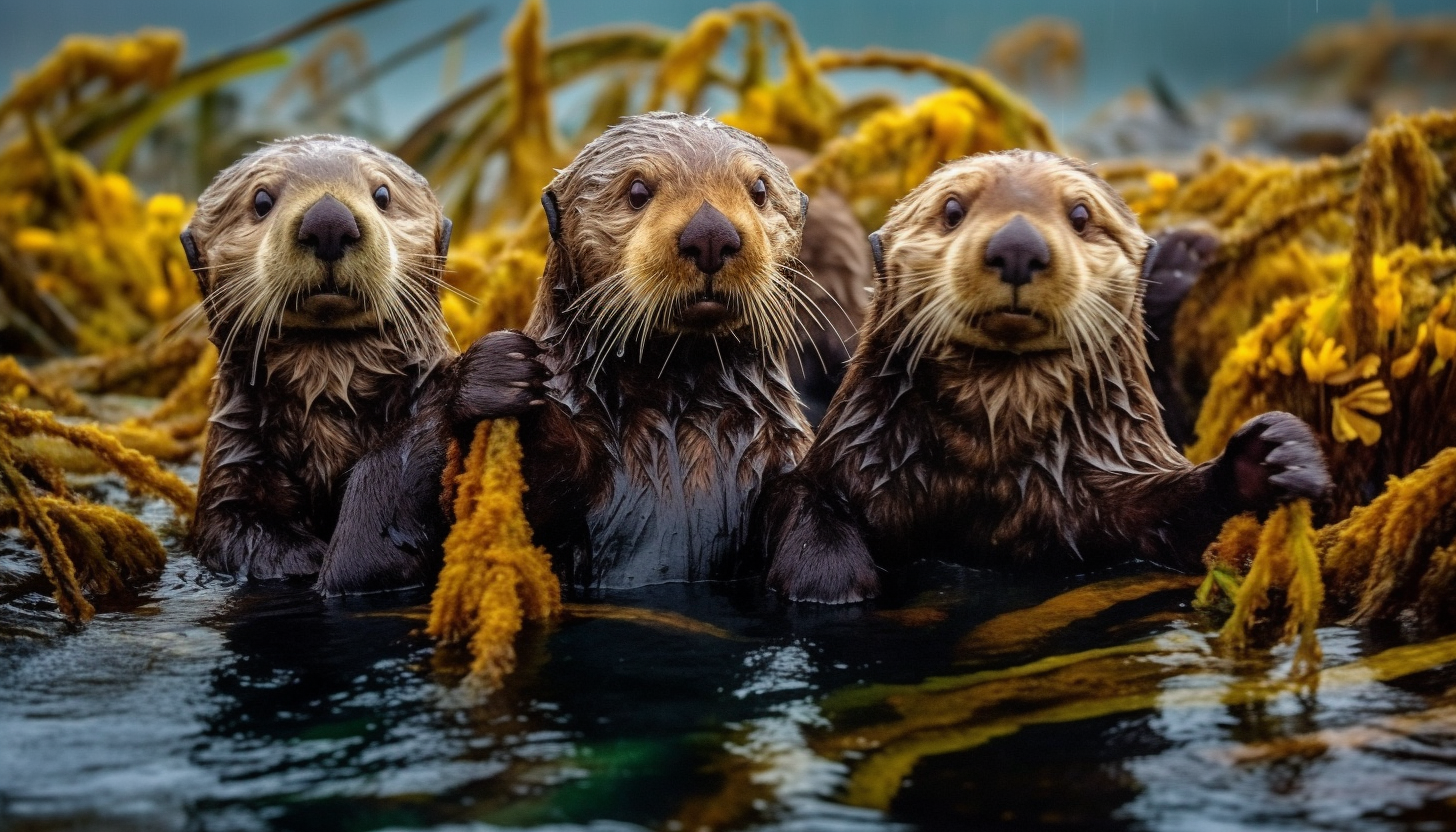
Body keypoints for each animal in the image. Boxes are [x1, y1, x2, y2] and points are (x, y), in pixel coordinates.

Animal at [181, 136, 544, 588]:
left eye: (382, 194)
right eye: (261, 200)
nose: (328, 220)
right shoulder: (232, 509)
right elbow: (360, 558)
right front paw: (490, 372)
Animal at [762, 151, 1333, 606]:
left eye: (1080, 214)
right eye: (952, 210)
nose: (1017, 244)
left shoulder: (1106, 498)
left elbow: (1179, 517)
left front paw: (1275, 454)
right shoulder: (854, 464)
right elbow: (811, 501)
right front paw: (830, 577)